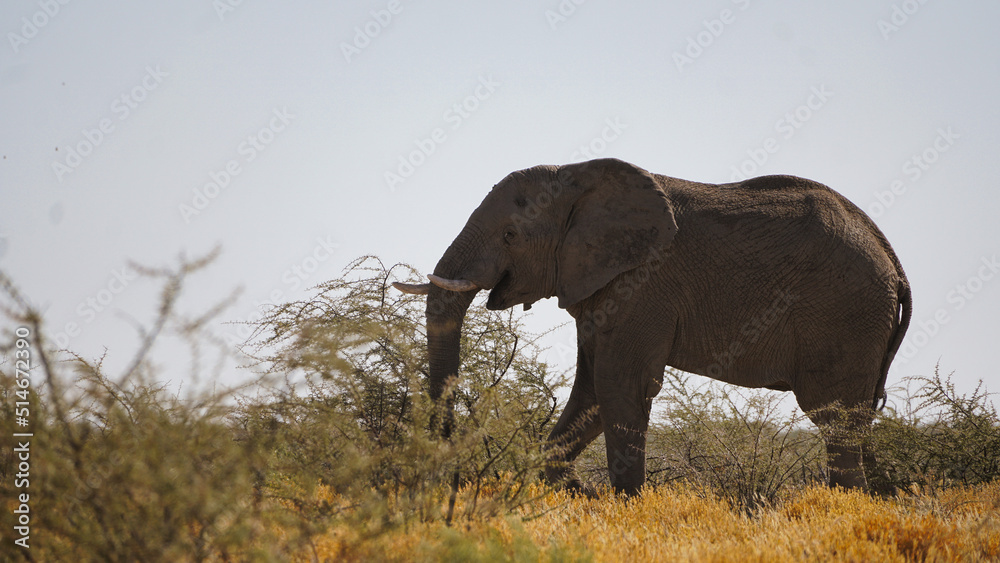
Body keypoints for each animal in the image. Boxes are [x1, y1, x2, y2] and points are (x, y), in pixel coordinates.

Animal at [394, 157, 911, 496]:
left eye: (510, 236)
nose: (451, 460)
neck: (575, 177)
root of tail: (894, 263)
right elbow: (591, 391)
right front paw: (578, 493)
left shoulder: (643, 285)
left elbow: (620, 383)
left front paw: (625, 505)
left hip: (846, 315)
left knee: (834, 420)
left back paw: (845, 508)